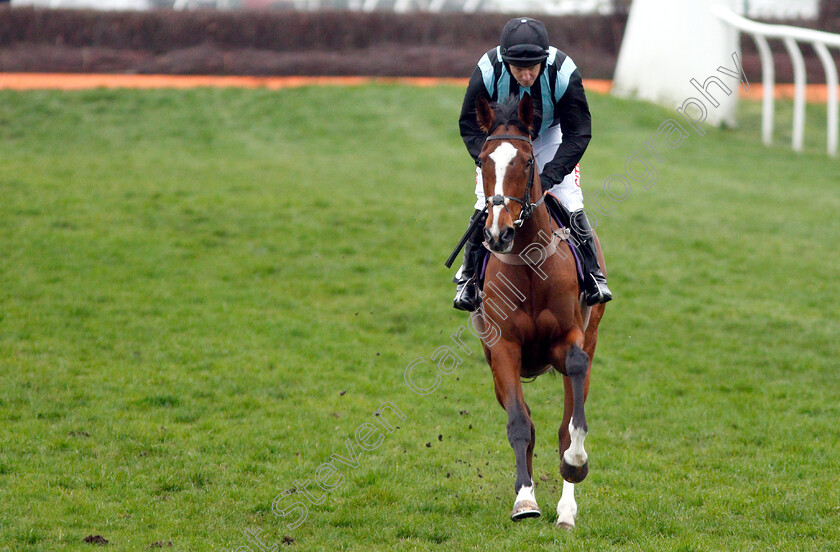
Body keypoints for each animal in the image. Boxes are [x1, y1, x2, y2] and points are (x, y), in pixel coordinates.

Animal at [470, 92, 608, 528]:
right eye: (484, 160)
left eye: (528, 161)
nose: (498, 233)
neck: (528, 265)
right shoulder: (503, 349)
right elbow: (519, 424)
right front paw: (525, 500)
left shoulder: (568, 340)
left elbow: (569, 423)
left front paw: (576, 463)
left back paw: (566, 510)